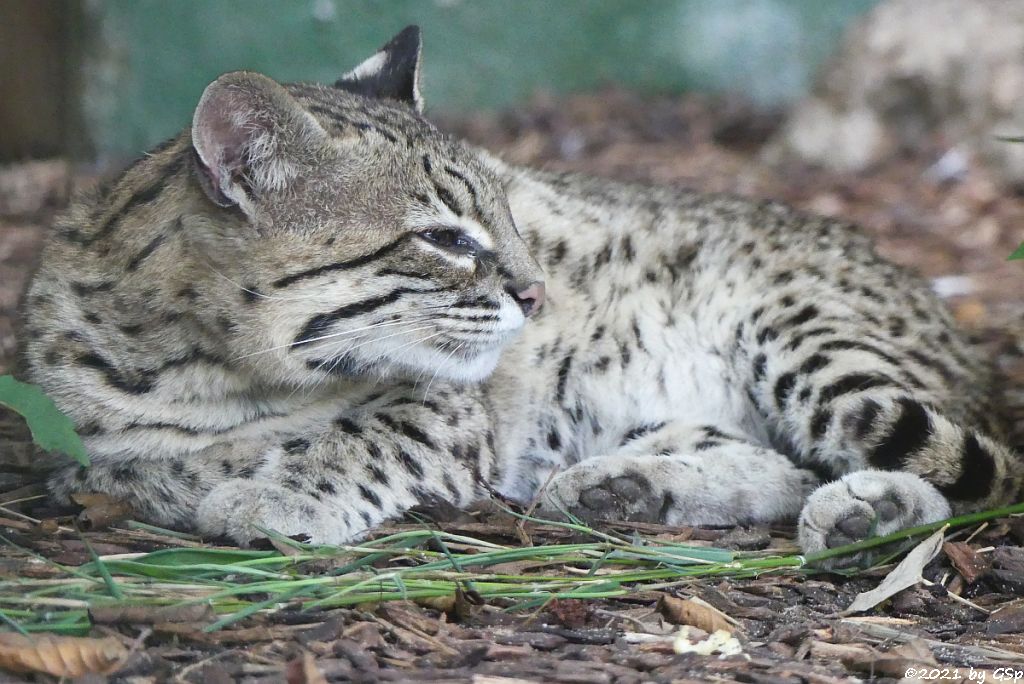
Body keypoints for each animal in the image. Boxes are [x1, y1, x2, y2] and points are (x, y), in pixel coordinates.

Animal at [18, 26, 1024, 561]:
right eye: (444, 239)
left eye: (508, 213)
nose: (539, 297)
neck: (211, 368)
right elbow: (125, 462)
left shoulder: (447, 405)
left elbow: (358, 436)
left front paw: (274, 492)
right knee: (784, 464)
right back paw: (627, 486)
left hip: (804, 337)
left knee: (984, 473)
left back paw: (872, 508)